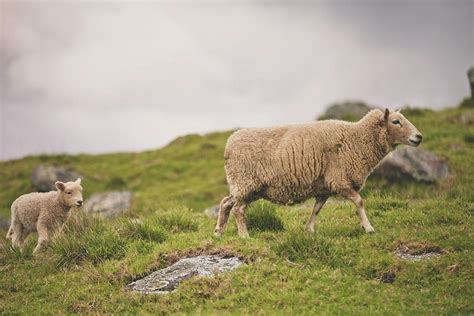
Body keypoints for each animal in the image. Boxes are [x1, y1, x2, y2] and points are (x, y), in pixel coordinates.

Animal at [215, 108, 422, 237]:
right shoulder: (340, 180)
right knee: (238, 209)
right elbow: (359, 201)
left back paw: (219, 232)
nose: (419, 137)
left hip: (247, 187)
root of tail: (229, 145)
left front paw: (309, 229)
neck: (357, 140)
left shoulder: (325, 187)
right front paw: (368, 227)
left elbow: (316, 209)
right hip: (246, 182)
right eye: (396, 121)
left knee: (226, 202)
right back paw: (244, 235)